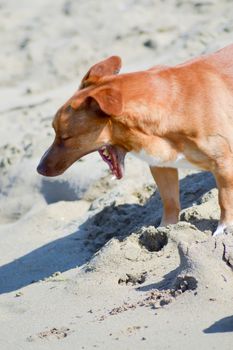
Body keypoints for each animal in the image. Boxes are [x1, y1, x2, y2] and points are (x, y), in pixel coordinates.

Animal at [36, 43, 233, 235]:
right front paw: (164, 230)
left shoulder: (223, 165)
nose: (39, 169)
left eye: (65, 137)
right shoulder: (162, 166)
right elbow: (170, 202)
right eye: (55, 132)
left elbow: (224, 199)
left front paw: (224, 228)